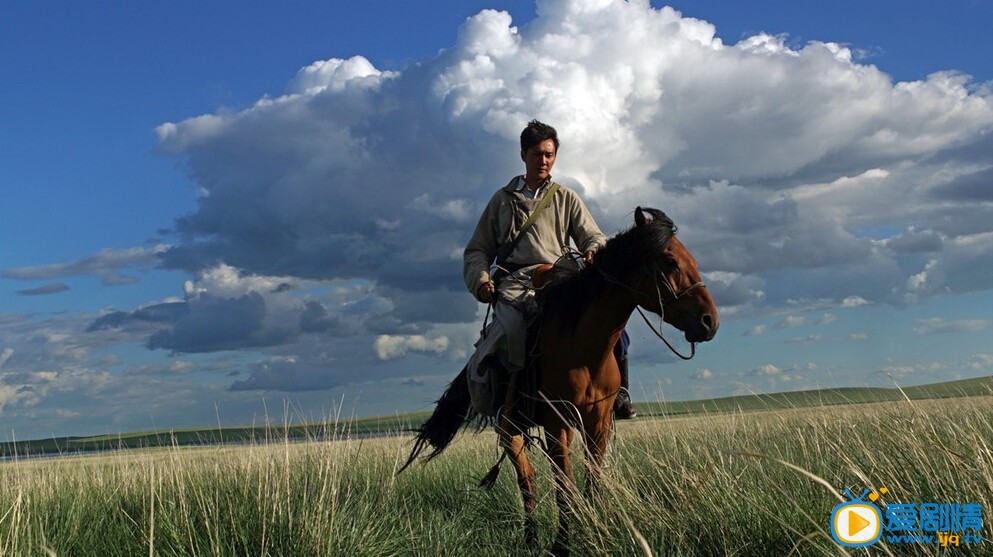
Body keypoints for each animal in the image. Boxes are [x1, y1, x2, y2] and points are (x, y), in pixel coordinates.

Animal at [400, 206, 716, 552]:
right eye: (669, 261)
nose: (709, 322)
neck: (583, 347)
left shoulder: (598, 424)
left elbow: (592, 484)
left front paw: (595, 536)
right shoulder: (557, 423)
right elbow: (564, 488)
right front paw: (561, 545)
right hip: (510, 431)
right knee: (528, 481)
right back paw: (531, 539)